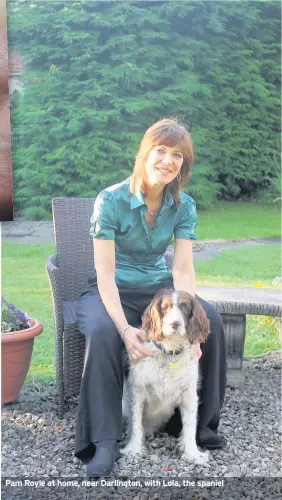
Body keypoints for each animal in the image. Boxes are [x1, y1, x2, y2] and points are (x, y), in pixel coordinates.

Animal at [122, 290, 210, 464]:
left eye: (185, 307)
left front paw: (193, 453)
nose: (174, 324)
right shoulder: (138, 391)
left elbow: (190, 426)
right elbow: (136, 424)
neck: (170, 353)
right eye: (165, 307)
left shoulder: (189, 395)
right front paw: (133, 449)